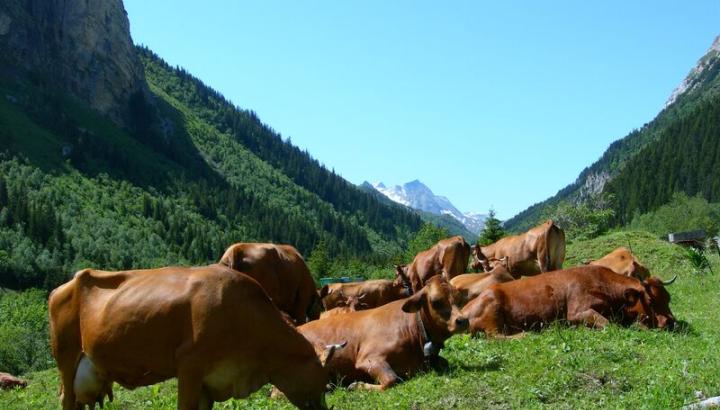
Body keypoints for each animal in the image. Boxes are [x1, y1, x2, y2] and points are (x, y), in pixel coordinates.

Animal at [49, 264, 342, 410]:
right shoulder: (190, 368)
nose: (324, 409)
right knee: (66, 400)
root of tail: (65, 284)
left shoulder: (210, 383)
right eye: (324, 382)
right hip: (65, 356)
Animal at [298, 276, 469, 391]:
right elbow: (391, 379)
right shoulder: (369, 358)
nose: (463, 320)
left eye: (459, 298)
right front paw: (357, 385)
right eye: (435, 302)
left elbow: (444, 362)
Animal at [462, 265, 676, 336]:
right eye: (651, 300)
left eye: (668, 298)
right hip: (492, 312)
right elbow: (608, 325)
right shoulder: (576, 312)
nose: (671, 322)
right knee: (494, 337)